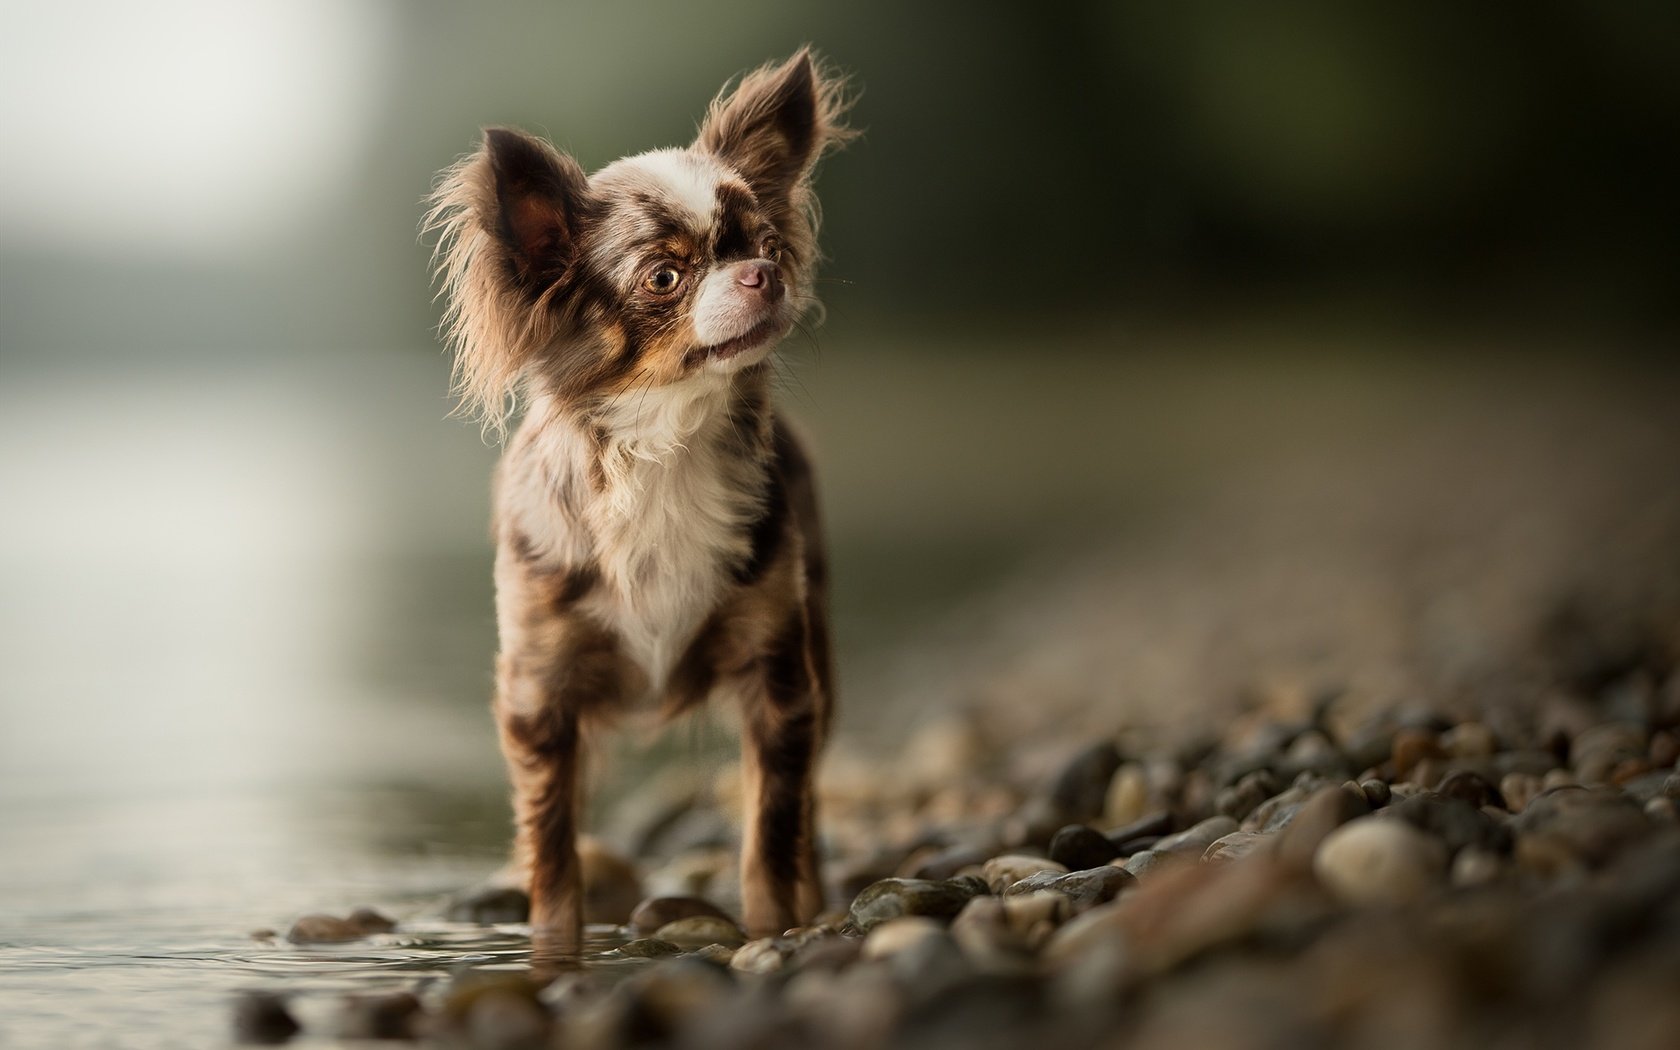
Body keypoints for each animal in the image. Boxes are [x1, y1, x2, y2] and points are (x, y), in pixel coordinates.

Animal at [423, 51, 853, 947]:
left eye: (767, 244)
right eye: (665, 276)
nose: (764, 274)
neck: (664, 451)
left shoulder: (779, 684)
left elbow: (772, 830)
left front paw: (775, 931)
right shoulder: (540, 700)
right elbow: (553, 855)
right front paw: (555, 948)